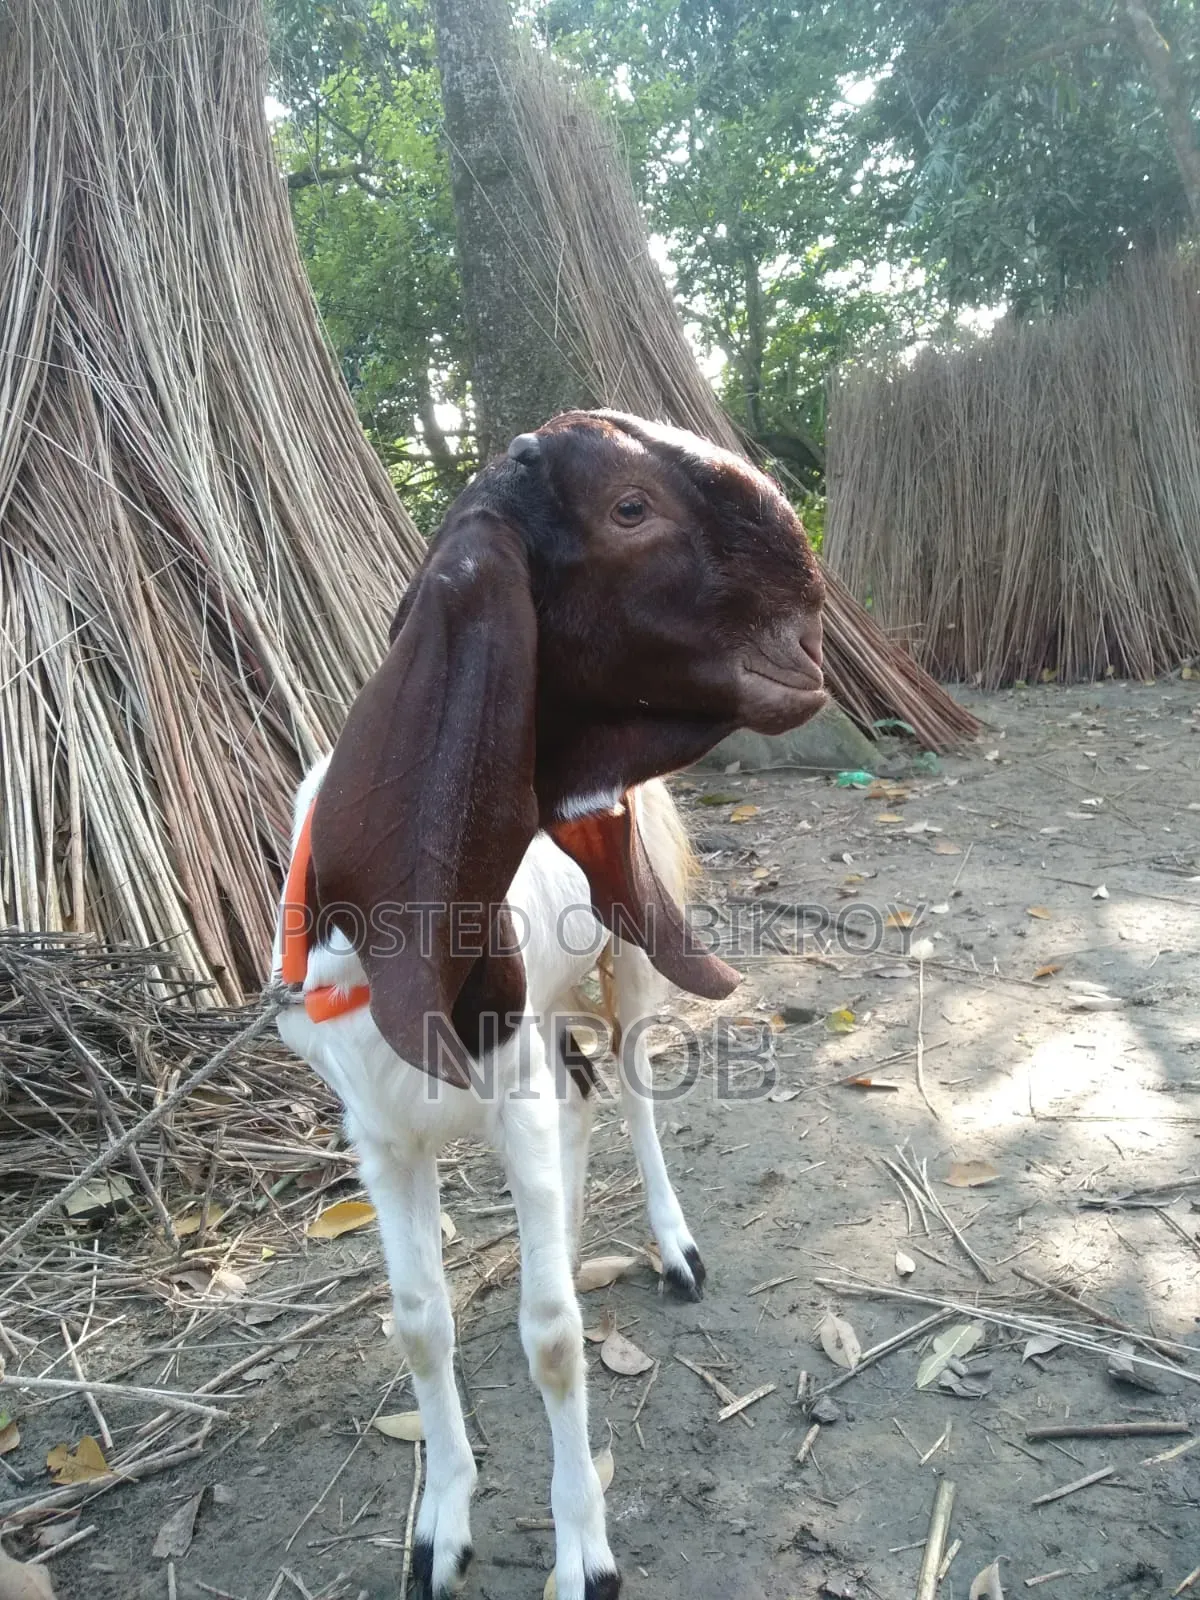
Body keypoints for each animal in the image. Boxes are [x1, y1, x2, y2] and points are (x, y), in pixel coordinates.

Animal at [271, 410, 826, 1600]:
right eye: (629, 507)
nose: (811, 625)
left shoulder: (510, 1091)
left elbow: (554, 1337)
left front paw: (582, 1553)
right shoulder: (379, 1137)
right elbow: (419, 1323)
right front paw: (440, 1524)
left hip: (631, 952)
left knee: (633, 1089)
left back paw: (669, 1246)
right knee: (582, 1095)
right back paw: (568, 1237)